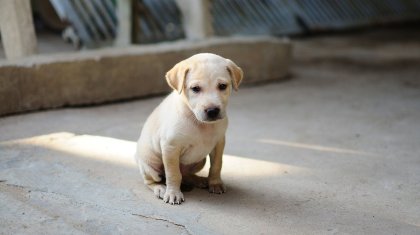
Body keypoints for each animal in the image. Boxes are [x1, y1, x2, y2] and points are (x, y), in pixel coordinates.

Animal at [135, 52, 243, 204]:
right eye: (195, 89)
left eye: (222, 86)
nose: (212, 111)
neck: (199, 123)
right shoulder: (170, 147)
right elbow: (173, 174)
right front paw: (173, 193)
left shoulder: (219, 143)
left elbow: (216, 165)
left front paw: (215, 183)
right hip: (150, 166)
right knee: (153, 180)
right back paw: (161, 188)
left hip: (200, 161)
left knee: (185, 174)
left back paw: (199, 180)